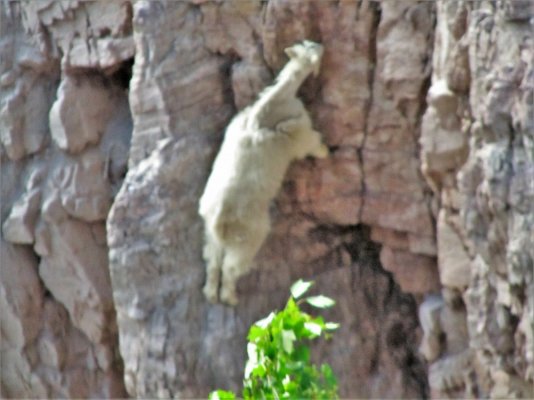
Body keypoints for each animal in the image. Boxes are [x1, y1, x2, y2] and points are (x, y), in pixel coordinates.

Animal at [199, 40, 328, 304]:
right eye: (309, 46)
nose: (321, 45)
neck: (271, 104)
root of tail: (220, 222)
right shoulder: (297, 131)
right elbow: (311, 141)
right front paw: (326, 152)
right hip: (249, 232)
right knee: (232, 264)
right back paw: (230, 296)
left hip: (210, 231)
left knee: (212, 258)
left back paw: (211, 293)